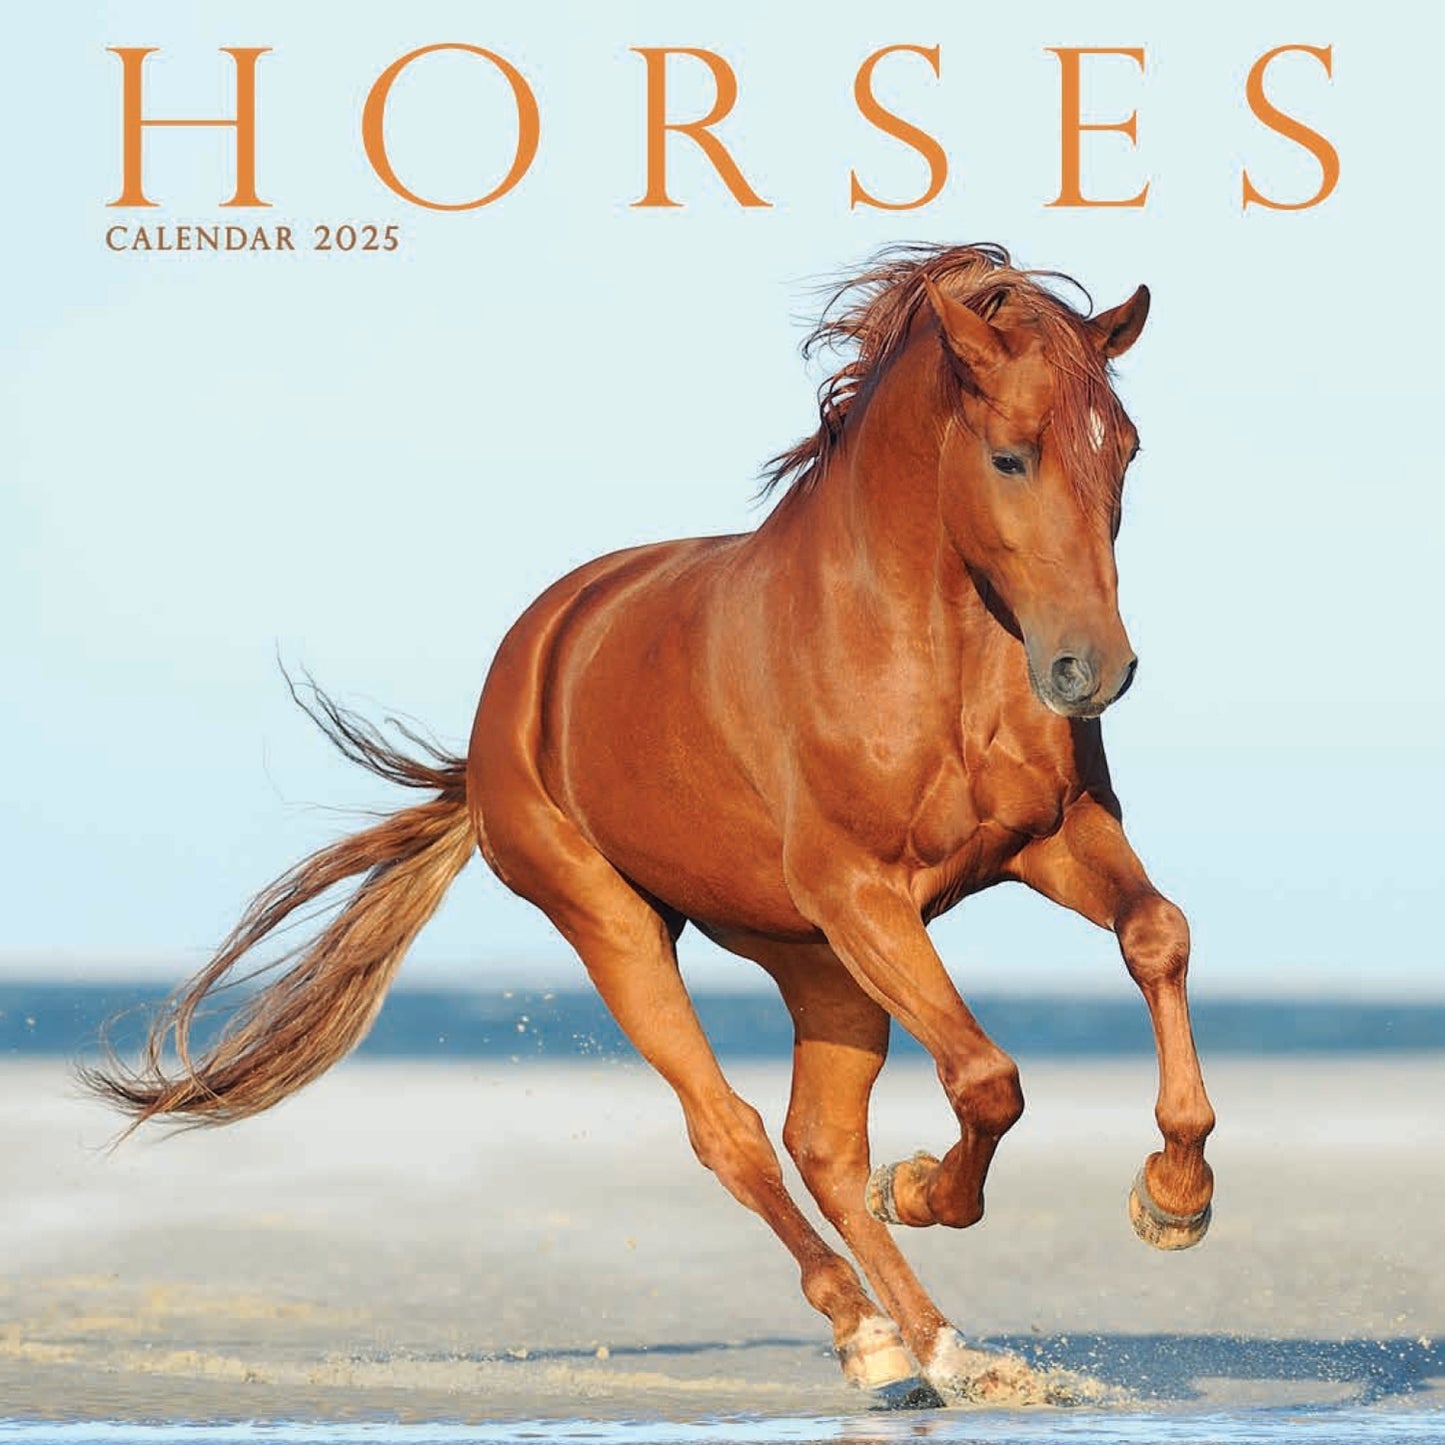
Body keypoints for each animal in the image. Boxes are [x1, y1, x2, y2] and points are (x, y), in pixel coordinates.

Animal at [87, 242, 1216, 1408]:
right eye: (1008, 456)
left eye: (1123, 450)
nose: (1091, 669)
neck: (922, 645)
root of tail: (515, 686)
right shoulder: (860, 890)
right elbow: (987, 1079)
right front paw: (924, 1187)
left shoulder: (1050, 840)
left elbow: (1154, 934)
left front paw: (1172, 1195)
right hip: (622, 925)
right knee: (735, 1134)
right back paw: (873, 1333)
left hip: (819, 965)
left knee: (820, 1146)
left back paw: (946, 1352)